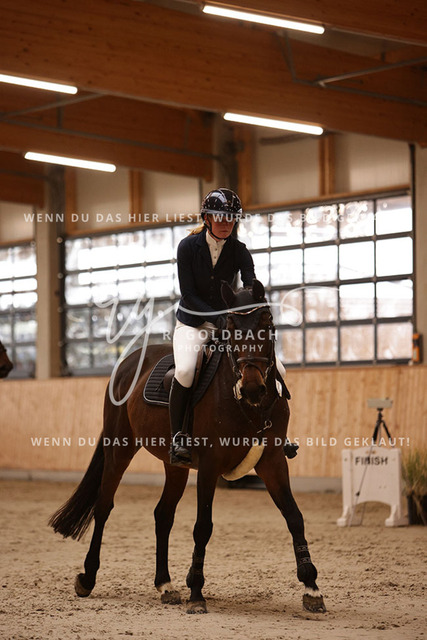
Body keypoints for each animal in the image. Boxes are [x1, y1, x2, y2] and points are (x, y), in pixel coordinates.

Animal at [49, 279, 325, 614]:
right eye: (230, 327)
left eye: (267, 323)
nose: (252, 388)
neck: (248, 405)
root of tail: (128, 362)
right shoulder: (209, 465)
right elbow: (203, 526)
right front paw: (196, 592)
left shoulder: (272, 462)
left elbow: (294, 517)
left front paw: (312, 588)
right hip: (120, 448)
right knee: (103, 506)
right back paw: (88, 578)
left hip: (175, 465)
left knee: (163, 514)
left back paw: (165, 585)